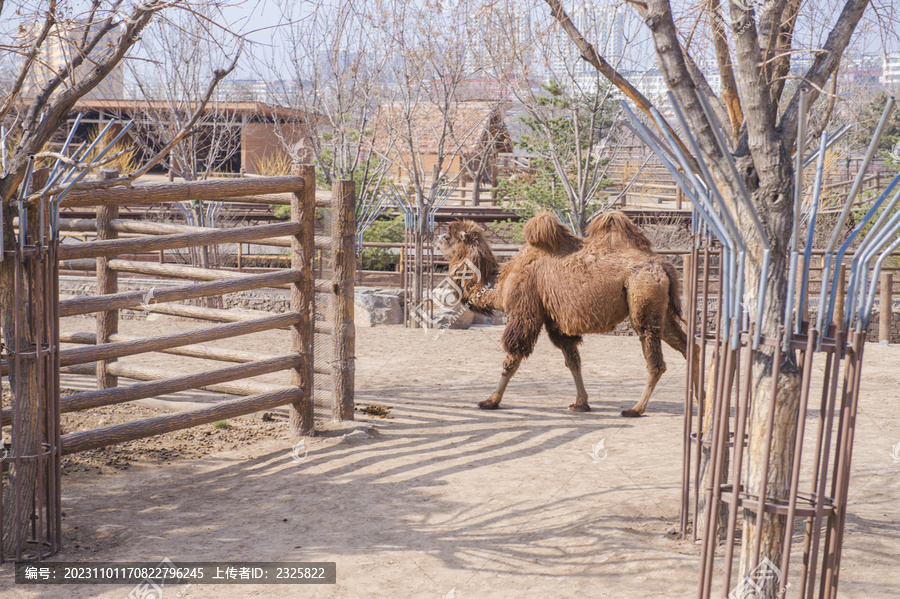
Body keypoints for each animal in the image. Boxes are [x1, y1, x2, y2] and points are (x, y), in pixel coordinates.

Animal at [436, 211, 696, 418]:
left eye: (448, 237)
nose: (437, 239)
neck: (499, 287)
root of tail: (663, 265)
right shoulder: (555, 321)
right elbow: (573, 361)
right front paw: (581, 404)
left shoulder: (526, 312)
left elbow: (512, 358)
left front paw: (490, 401)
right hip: (663, 311)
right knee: (689, 346)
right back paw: (698, 403)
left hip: (643, 300)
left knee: (655, 361)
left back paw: (635, 409)